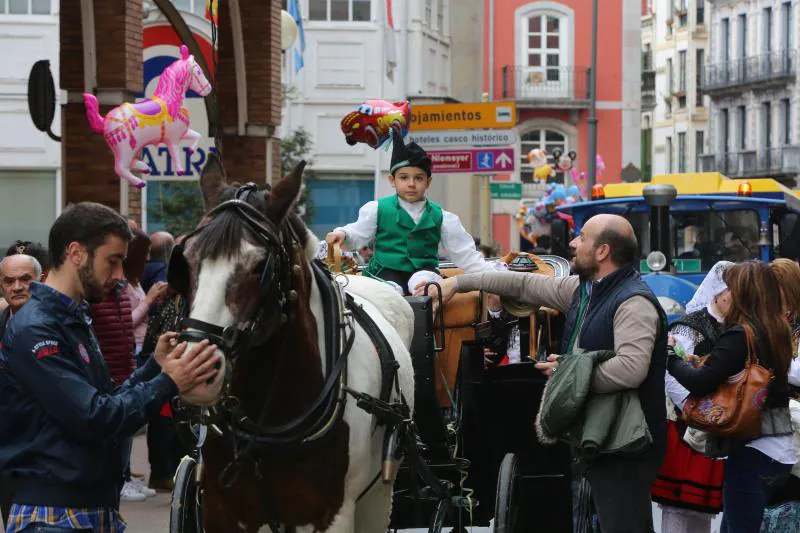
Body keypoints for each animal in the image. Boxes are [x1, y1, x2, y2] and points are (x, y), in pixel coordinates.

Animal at [171, 155, 416, 532]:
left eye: (260, 265)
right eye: (186, 259)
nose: (194, 366)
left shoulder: (332, 513)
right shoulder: (220, 510)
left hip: (376, 499)